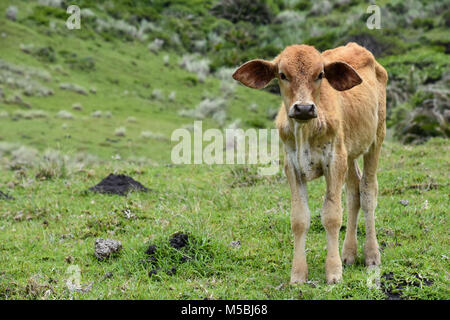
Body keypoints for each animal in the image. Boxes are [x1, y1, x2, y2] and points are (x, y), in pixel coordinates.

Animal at [234, 43, 388, 284]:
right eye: (282, 75)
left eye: (320, 75)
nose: (304, 108)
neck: (306, 130)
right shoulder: (292, 166)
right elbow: (299, 218)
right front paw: (298, 274)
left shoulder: (335, 161)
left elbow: (332, 216)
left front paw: (333, 272)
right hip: (350, 153)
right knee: (353, 193)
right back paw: (349, 253)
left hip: (376, 139)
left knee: (368, 192)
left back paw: (372, 255)